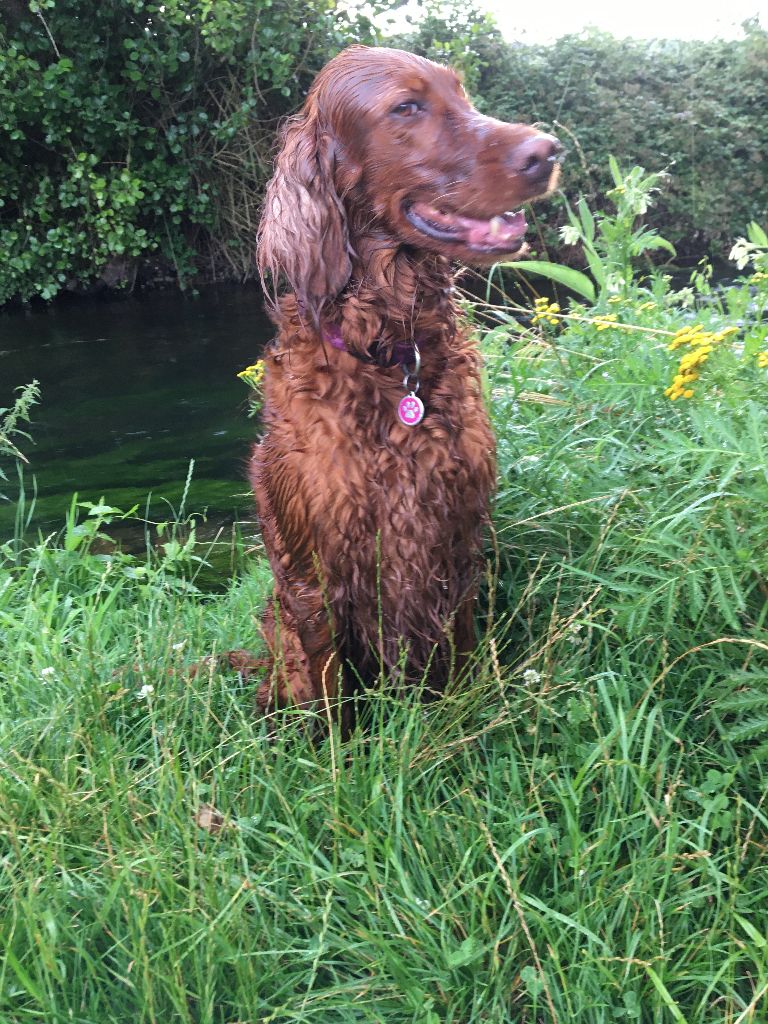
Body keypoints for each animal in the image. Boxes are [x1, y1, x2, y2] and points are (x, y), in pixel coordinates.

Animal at [246, 46, 561, 720]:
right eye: (406, 107)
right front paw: (334, 748)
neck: (389, 352)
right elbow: (330, 696)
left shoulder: (454, 536)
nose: (547, 152)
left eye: (462, 96)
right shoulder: (313, 572)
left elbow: (458, 655)